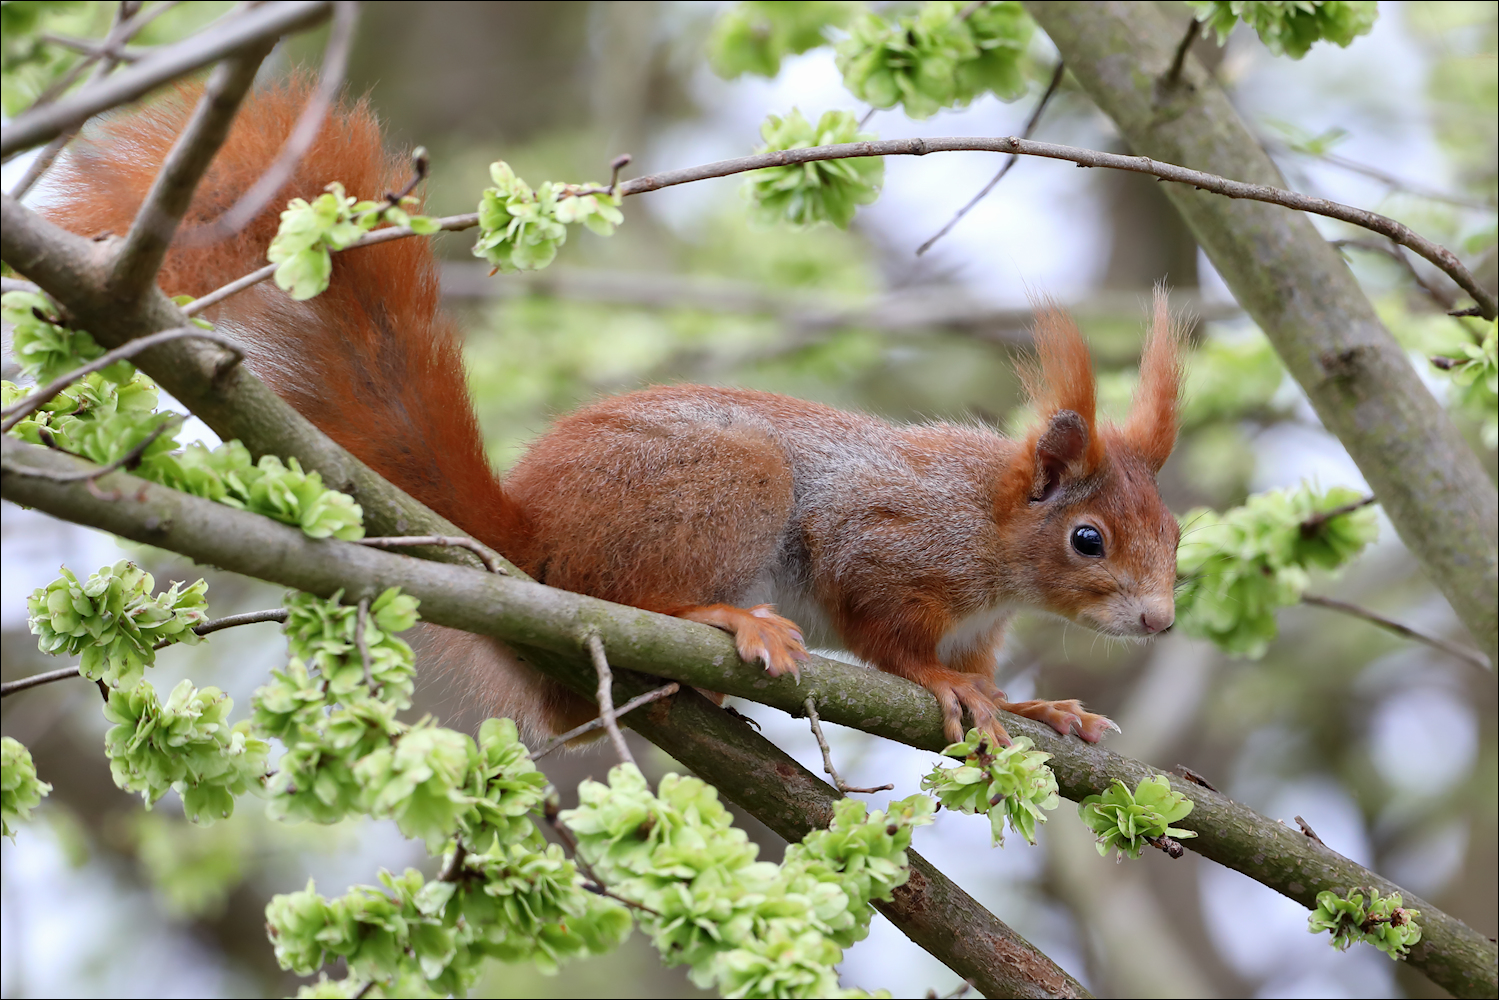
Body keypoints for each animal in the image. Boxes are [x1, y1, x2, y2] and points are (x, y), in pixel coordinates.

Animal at [43, 83, 1181, 743]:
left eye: (1173, 536)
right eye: (1086, 539)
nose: (1161, 621)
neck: (991, 526)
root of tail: (524, 547)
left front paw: (1034, 703)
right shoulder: (891, 539)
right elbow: (880, 621)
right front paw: (951, 689)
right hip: (722, 492)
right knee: (626, 590)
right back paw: (721, 620)